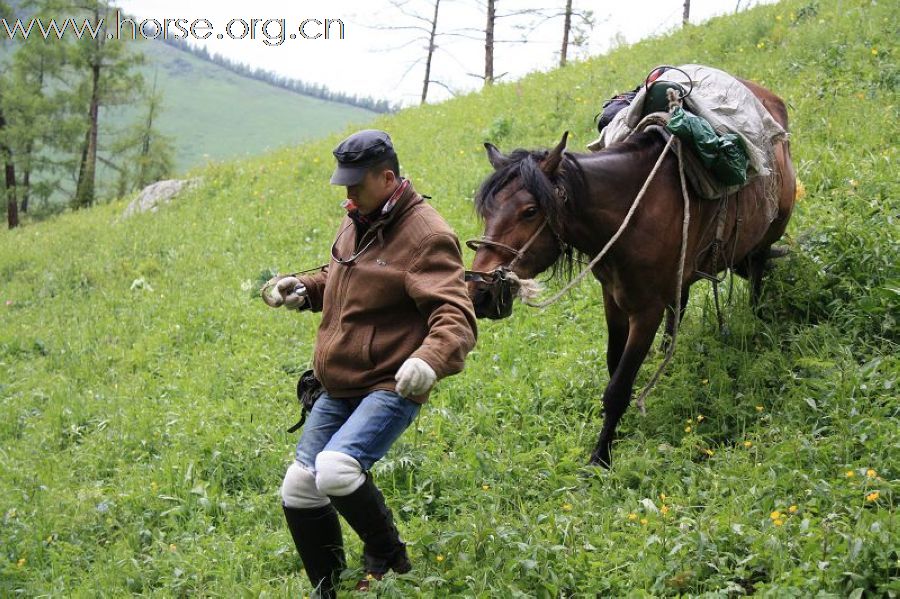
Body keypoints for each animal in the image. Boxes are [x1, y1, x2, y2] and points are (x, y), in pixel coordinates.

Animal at [464, 78, 796, 468]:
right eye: (487, 211)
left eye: (530, 211)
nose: (480, 292)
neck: (631, 212)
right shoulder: (613, 298)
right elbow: (614, 366)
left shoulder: (645, 311)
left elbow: (619, 387)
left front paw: (600, 458)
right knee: (681, 302)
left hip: (766, 235)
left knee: (757, 274)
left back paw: (756, 320)